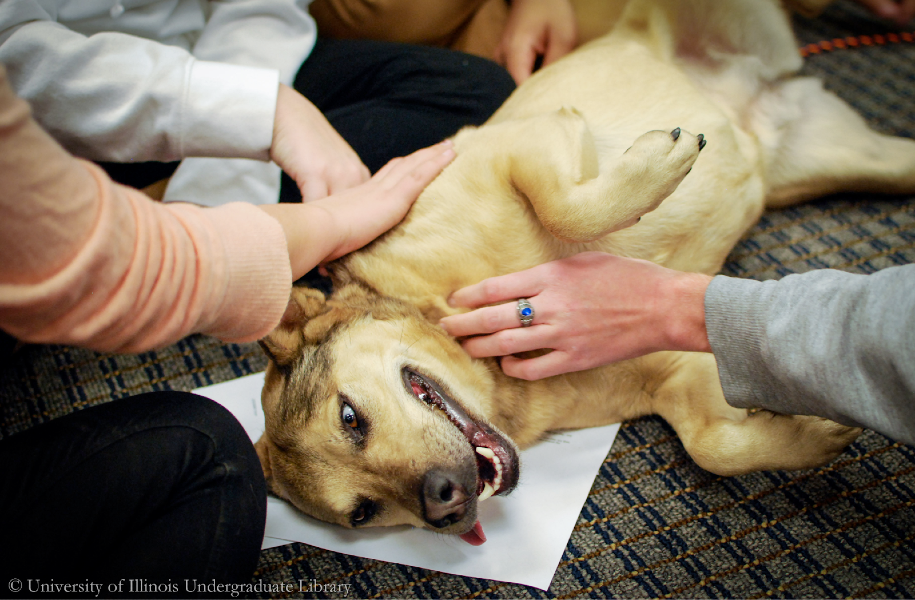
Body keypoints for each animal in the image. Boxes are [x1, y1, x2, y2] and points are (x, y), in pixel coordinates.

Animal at [252, 0, 915, 544]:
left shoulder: (519, 144)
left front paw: (656, 166)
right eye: (362, 513)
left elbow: (567, 208)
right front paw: (808, 434)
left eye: (350, 418)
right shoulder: (676, 370)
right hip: (868, 162)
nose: (445, 506)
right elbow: (714, 445)